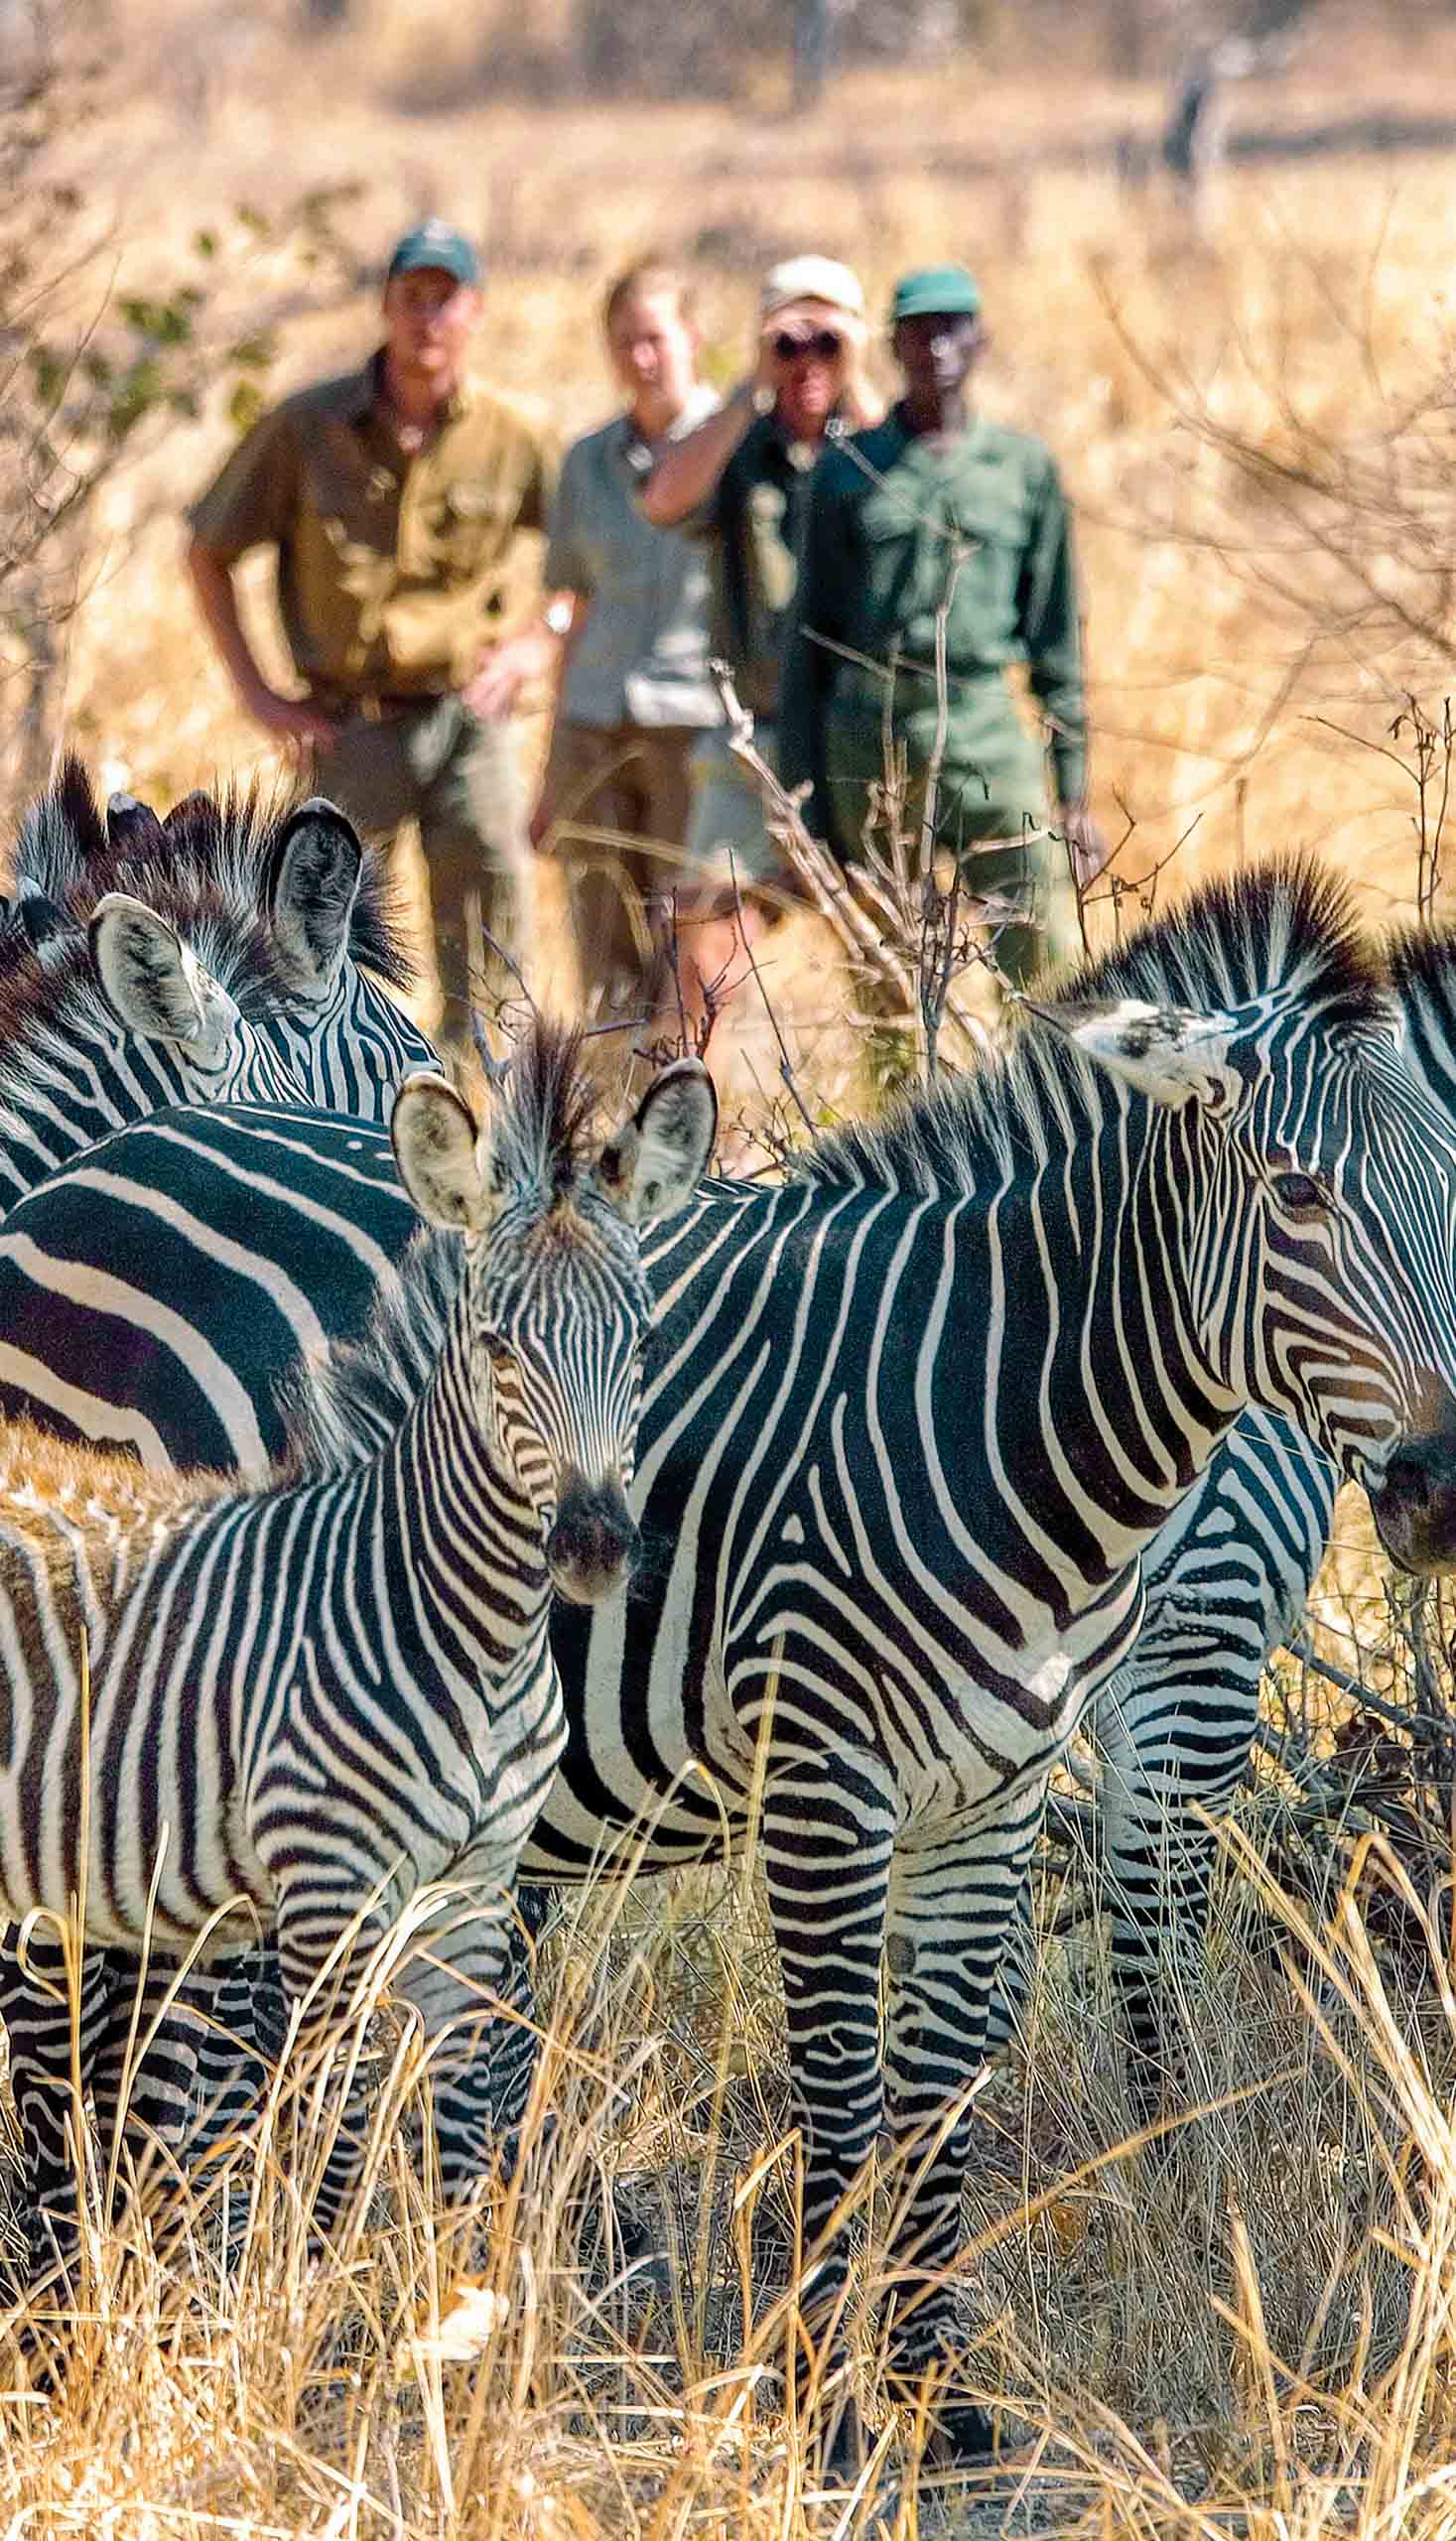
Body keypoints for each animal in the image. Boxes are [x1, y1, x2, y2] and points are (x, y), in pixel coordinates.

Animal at [0, 1027, 716, 2244]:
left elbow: (462, 2146)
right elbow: (322, 2134)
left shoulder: (469, 1896)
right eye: (496, 1348)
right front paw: (298, 2290)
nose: (592, 1545)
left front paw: (466, 2293)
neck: (471, 1639)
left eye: (646, 1340)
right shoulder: (326, 1895)